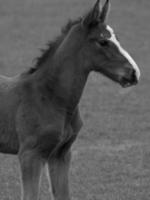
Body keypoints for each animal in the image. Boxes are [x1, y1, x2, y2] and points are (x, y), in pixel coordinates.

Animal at [0, 0, 139, 200]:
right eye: (103, 41)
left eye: (117, 39)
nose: (134, 73)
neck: (50, 97)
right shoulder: (30, 155)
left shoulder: (61, 154)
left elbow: (64, 194)